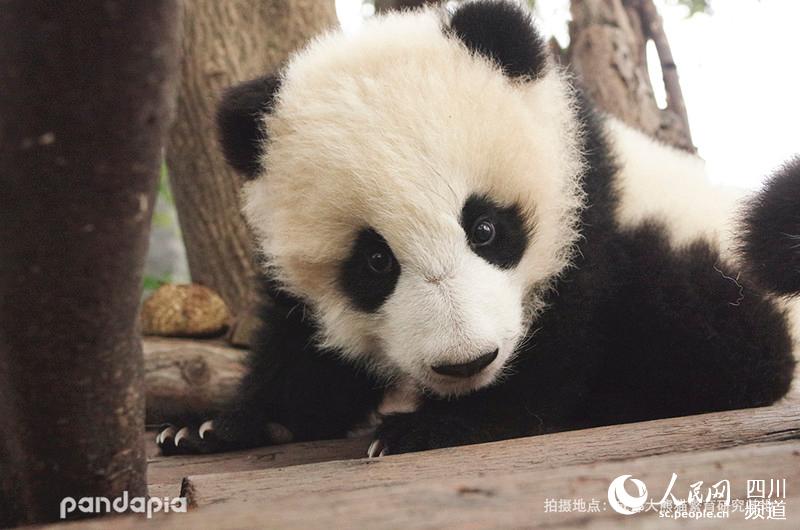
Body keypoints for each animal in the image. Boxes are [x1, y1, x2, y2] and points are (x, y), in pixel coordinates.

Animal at [157, 0, 798, 457]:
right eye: (374, 261)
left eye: (485, 228)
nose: (465, 363)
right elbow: (304, 349)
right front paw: (215, 427)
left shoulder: (590, 217)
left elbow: (565, 344)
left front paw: (434, 427)